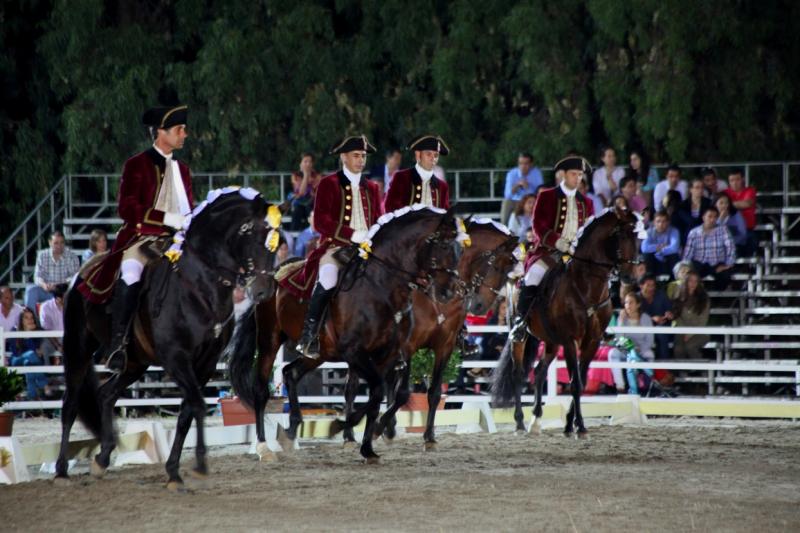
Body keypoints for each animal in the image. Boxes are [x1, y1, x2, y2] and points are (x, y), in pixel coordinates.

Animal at [54, 189, 276, 488]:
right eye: (250, 233)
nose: (264, 290)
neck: (200, 289)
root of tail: (82, 272)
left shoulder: (204, 364)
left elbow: (186, 413)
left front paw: (174, 471)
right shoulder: (176, 358)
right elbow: (198, 405)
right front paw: (199, 464)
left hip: (135, 363)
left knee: (106, 394)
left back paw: (103, 458)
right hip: (77, 347)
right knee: (70, 404)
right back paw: (61, 470)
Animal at [227, 206, 462, 460]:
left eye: (459, 248)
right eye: (444, 246)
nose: (449, 292)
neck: (380, 287)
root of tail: (274, 274)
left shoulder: (388, 354)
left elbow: (379, 396)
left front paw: (366, 445)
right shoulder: (355, 352)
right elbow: (377, 391)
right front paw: (346, 429)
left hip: (320, 353)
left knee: (291, 373)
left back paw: (291, 430)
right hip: (269, 340)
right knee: (261, 390)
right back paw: (263, 447)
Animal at [346, 218, 520, 446]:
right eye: (498, 266)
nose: (480, 306)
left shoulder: (445, 346)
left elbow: (435, 392)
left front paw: (429, 436)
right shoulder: (408, 345)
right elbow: (403, 393)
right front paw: (378, 427)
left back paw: (388, 429)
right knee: (353, 387)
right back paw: (350, 433)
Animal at [490, 207, 640, 436]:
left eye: (637, 238)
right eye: (621, 236)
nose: (630, 278)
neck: (586, 288)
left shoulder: (592, 342)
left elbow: (582, 380)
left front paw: (571, 423)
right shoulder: (570, 341)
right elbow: (575, 383)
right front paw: (580, 426)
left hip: (551, 340)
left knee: (539, 371)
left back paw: (536, 420)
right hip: (521, 338)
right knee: (518, 373)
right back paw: (520, 423)